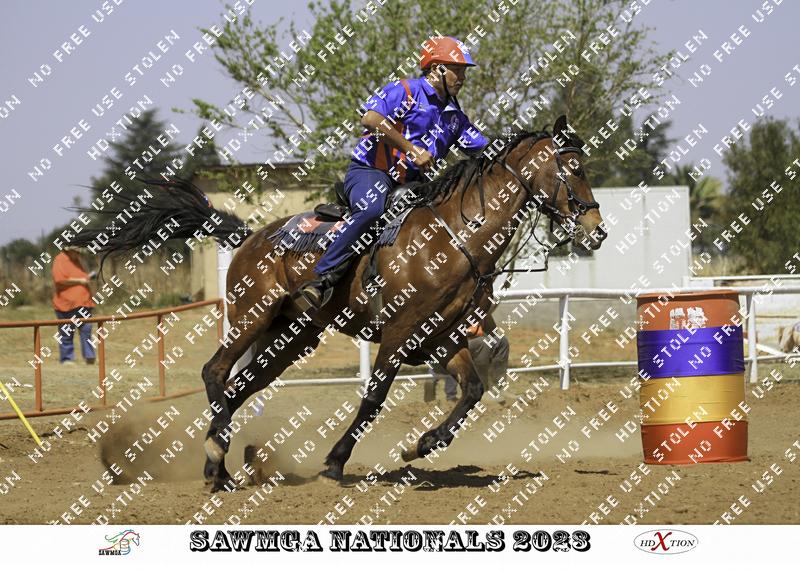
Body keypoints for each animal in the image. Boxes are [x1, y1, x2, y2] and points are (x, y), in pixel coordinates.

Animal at [74, 115, 607, 492]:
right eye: (575, 168)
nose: (596, 230)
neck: (453, 239)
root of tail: (250, 238)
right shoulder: (398, 335)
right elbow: (373, 400)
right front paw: (334, 462)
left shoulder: (443, 336)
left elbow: (472, 390)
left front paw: (422, 445)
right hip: (251, 316)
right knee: (215, 372)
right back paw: (219, 463)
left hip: (289, 338)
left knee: (239, 385)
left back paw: (219, 464)